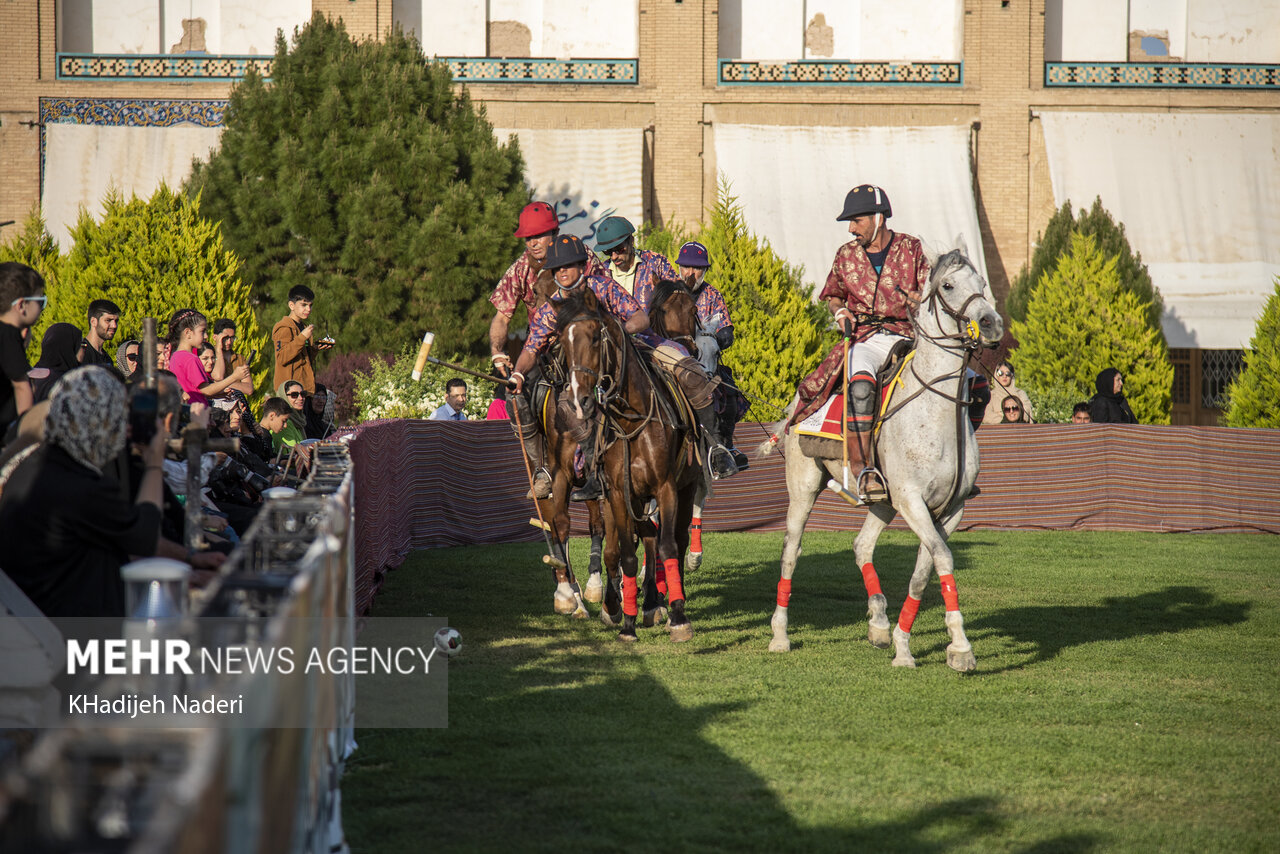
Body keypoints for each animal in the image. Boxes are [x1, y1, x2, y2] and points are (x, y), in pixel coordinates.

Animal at [558, 286, 701, 640]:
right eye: (563, 343)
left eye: (594, 338)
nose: (580, 399)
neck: (630, 421)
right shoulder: (618, 494)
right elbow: (625, 554)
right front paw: (627, 622)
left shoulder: (666, 487)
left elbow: (668, 547)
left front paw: (678, 617)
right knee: (642, 537)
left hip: (687, 485)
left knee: (675, 540)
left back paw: (669, 604)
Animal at [757, 239, 998, 665]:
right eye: (948, 286)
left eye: (982, 284)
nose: (991, 324)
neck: (936, 412)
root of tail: (796, 403)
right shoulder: (912, 499)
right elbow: (942, 558)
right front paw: (960, 647)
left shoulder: (950, 508)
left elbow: (924, 571)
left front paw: (905, 643)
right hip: (804, 488)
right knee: (791, 550)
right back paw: (780, 634)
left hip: (882, 501)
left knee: (862, 545)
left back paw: (880, 625)